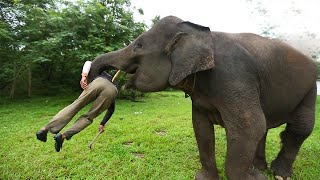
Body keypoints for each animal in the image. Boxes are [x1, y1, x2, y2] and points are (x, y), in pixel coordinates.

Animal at [87, 16, 318, 179]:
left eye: (138, 45)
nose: (97, 78)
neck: (199, 33)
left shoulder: (234, 74)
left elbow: (249, 127)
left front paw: (252, 177)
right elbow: (200, 127)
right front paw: (206, 177)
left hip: (309, 89)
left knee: (300, 127)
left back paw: (277, 175)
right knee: (266, 128)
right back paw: (259, 168)